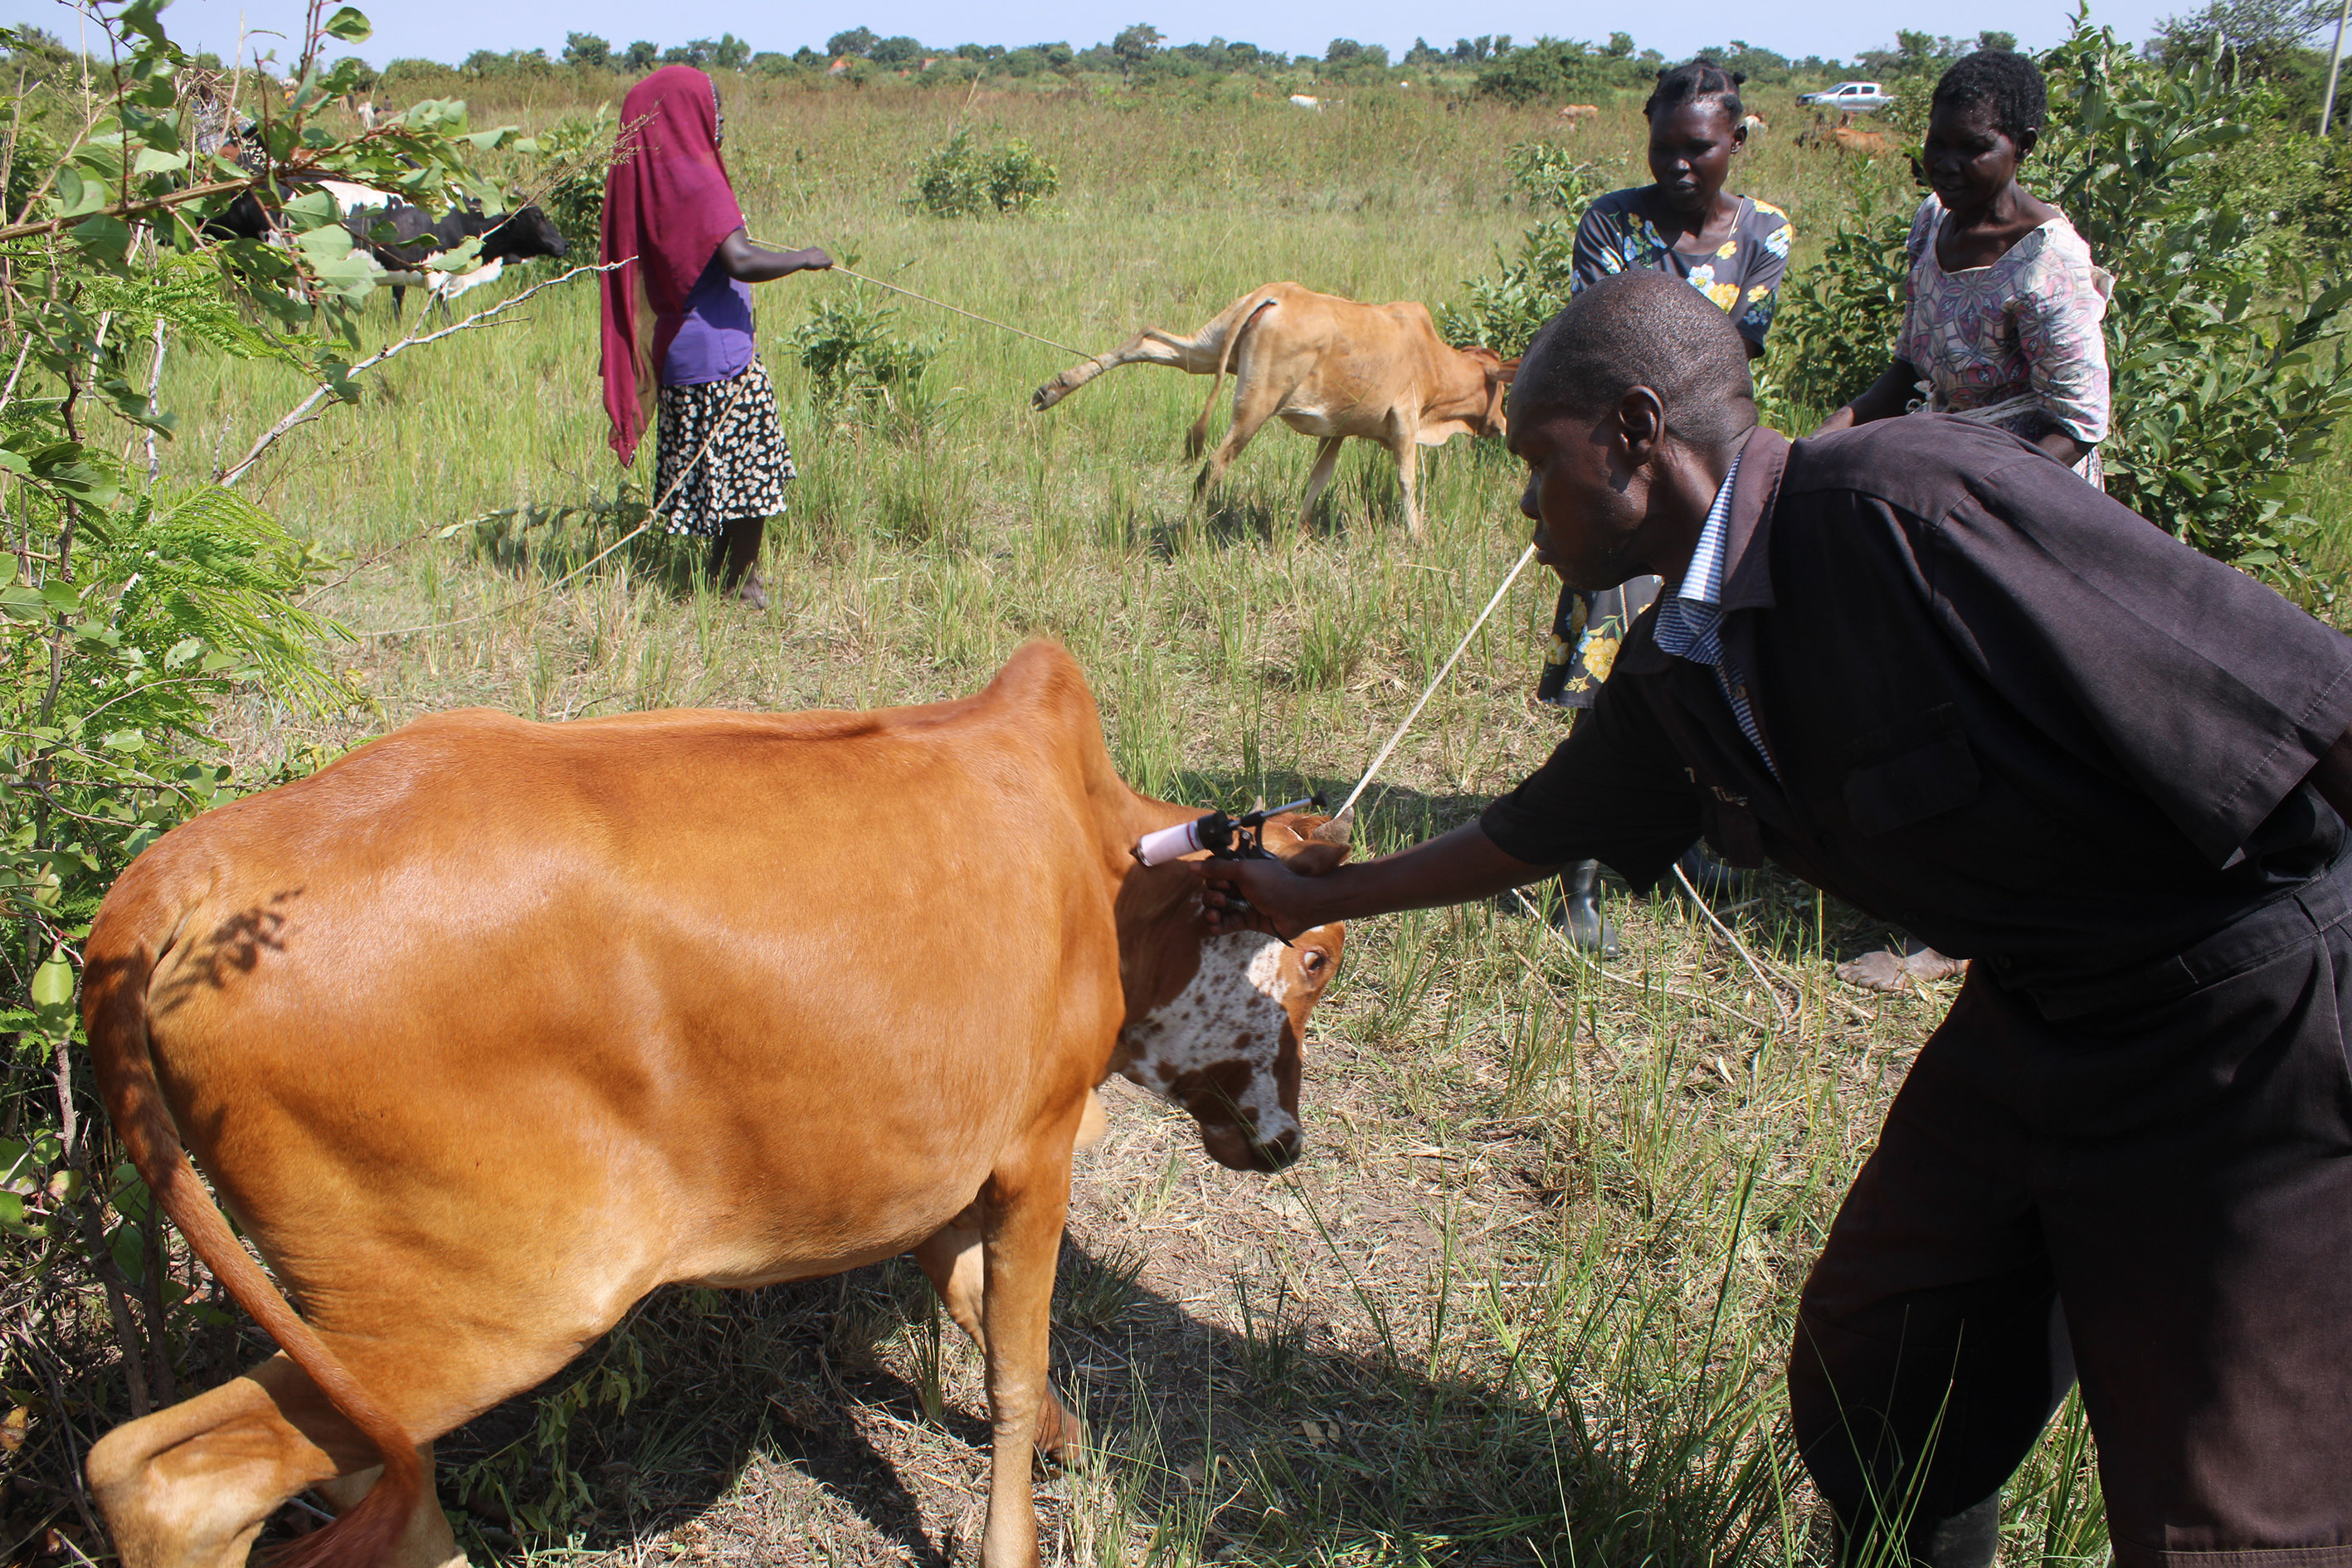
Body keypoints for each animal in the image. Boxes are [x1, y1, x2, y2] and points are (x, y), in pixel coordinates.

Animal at [82, 639, 1354, 1568]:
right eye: (1319, 954)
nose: (1287, 1143)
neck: (1100, 859)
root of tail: (196, 867)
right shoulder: (1037, 1145)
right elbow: (1010, 1359)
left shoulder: (940, 1167)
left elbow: (976, 1314)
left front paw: (1066, 1443)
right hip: (491, 1308)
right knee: (169, 1480)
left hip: (360, 1318)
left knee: (297, 1463)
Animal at [1030, 285, 1505, 543]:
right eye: (1501, 389)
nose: (1502, 425)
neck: (1433, 359)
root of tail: (1277, 293)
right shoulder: (1404, 418)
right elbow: (1408, 480)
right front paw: (1417, 537)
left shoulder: (1337, 431)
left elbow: (1318, 480)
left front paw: (1299, 531)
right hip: (1256, 405)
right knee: (1213, 466)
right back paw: (1186, 538)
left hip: (1209, 350)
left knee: (1147, 340)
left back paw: (1055, 387)